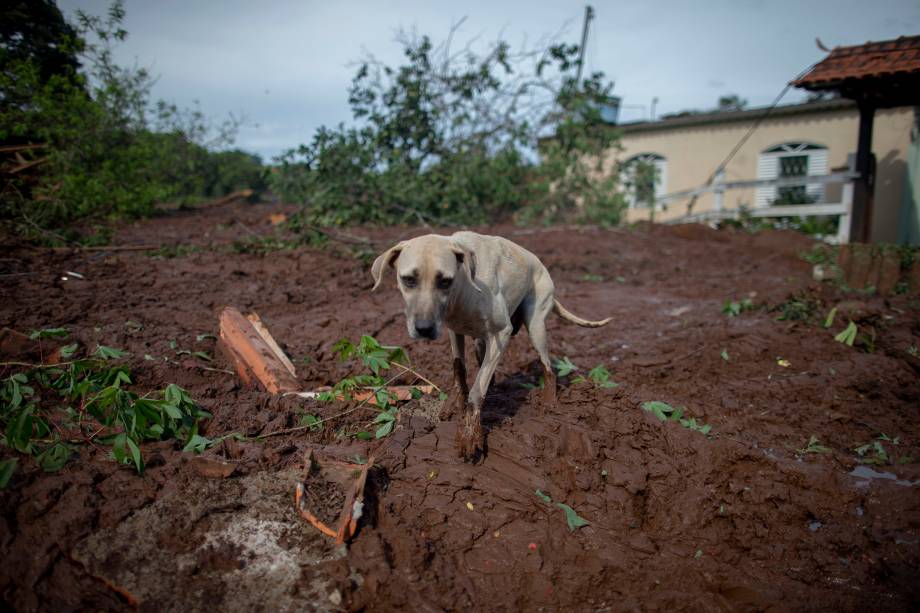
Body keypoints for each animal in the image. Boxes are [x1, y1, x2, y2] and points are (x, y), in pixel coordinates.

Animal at [366, 231, 612, 460]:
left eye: (445, 281)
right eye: (408, 279)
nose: (424, 329)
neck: (464, 286)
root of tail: (540, 263)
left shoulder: (501, 334)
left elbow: (477, 391)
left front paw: (470, 435)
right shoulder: (454, 331)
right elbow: (458, 368)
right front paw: (453, 404)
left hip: (536, 328)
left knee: (548, 366)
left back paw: (549, 400)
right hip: (481, 341)